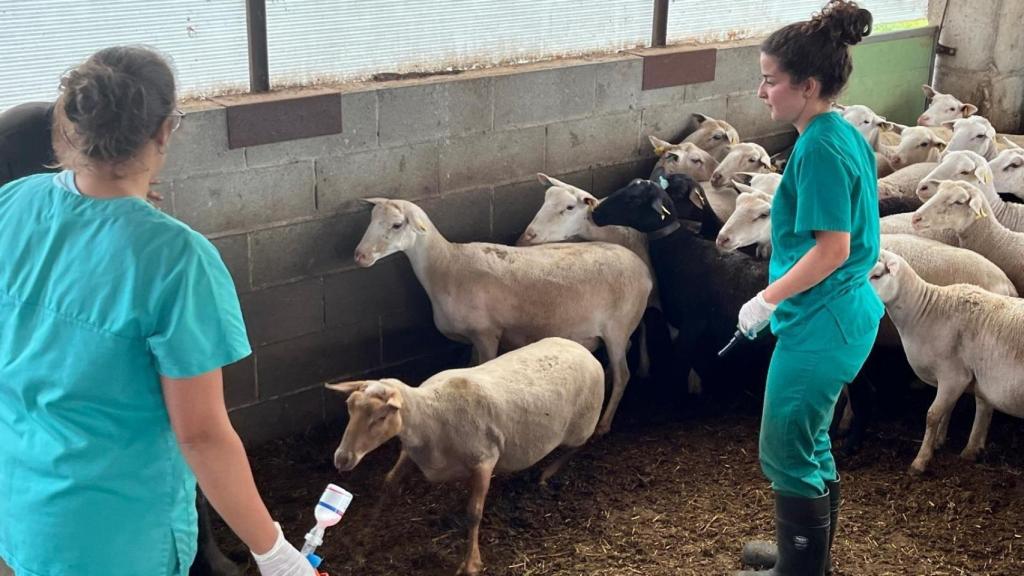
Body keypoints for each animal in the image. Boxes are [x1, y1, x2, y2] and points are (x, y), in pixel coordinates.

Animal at [325, 336, 598, 573]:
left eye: (382, 417)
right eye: (349, 407)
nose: (342, 459)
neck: (429, 417)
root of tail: (581, 348)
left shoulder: (485, 460)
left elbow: (474, 512)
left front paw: (471, 563)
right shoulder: (411, 452)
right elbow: (388, 484)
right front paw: (362, 543)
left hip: (582, 425)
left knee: (579, 445)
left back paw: (547, 473)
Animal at [356, 195, 651, 430]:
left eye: (397, 225)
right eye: (371, 219)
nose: (360, 256)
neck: (446, 266)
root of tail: (643, 270)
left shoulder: (487, 334)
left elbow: (482, 368)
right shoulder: (473, 338)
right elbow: (469, 366)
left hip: (617, 327)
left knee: (624, 373)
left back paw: (604, 423)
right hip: (619, 330)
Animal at [868, 249, 1024, 473]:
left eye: (877, 275)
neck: (924, 312)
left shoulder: (954, 376)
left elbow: (932, 415)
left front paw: (920, 461)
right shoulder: (960, 379)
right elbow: (949, 410)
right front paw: (940, 442)